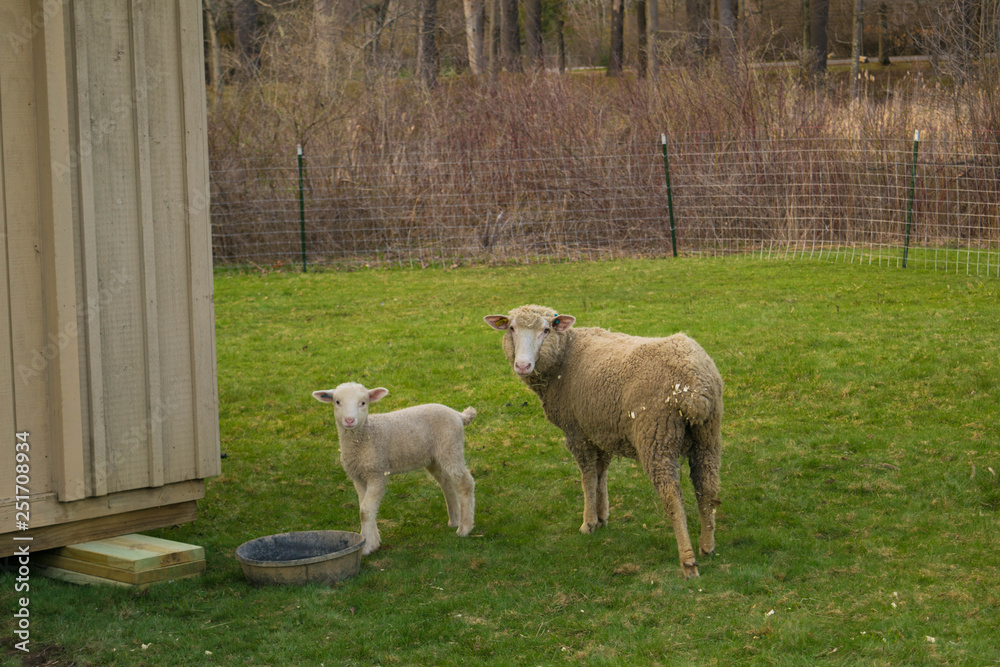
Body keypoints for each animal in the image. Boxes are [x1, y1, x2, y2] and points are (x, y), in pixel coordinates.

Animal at [312, 382, 476, 555]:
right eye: (337, 402)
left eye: (363, 402)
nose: (349, 420)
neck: (365, 436)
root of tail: (459, 415)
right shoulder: (359, 477)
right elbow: (364, 508)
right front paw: (374, 542)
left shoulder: (377, 473)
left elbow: (365, 510)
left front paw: (367, 547)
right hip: (434, 458)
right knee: (447, 484)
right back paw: (454, 519)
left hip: (451, 448)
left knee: (465, 483)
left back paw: (464, 528)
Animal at [484, 305, 723, 578]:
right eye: (511, 328)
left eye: (546, 330)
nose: (523, 365)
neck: (565, 356)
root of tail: (695, 387)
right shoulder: (602, 431)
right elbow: (601, 473)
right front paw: (602, 517)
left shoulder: (577, 432)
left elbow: (587, 477)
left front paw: (588, 523)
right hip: (708, 436)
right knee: (707, 487)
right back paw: (707, 546)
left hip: (656, 436)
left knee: (672, 497)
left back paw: (688, 561)